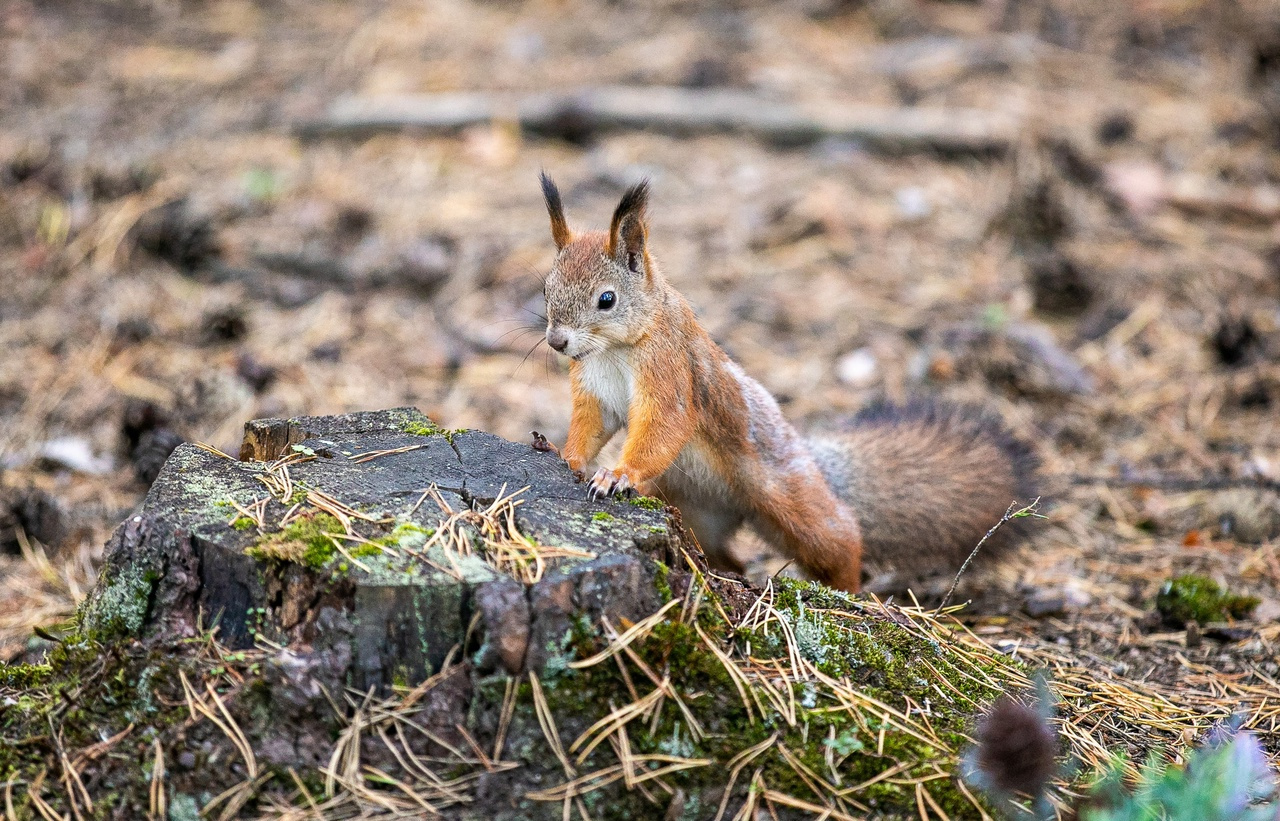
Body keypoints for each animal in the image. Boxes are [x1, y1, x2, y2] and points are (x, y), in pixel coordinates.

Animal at [535, 176, 1034, 591]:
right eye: (545, 289)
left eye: (606, 299)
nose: (557, 341)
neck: (614, 350)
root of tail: (809, 459)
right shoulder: (594, 391)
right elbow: (592, 426)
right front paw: (567, 456)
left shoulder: (671, 370)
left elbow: (665, 424)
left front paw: (618, 474)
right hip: (694, 509)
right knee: (726, 555)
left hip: (789, 500)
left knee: (840, 535)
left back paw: (853, 591)